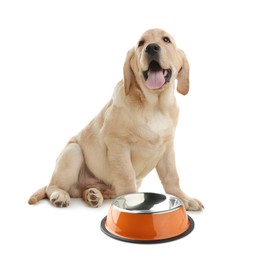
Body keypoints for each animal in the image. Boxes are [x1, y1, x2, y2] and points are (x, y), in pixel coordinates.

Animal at [27, 28, 203, 211]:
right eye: (141, 43)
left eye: (166, 40)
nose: (151, 48)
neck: (154, 106)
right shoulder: (118, 144)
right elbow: (126, 177)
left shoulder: (167, 147)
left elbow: (172, 176)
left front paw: (184, 198)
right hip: (72, 152)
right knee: (53, 186)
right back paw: (60, 195)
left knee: (88, 190)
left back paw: (93, 195)